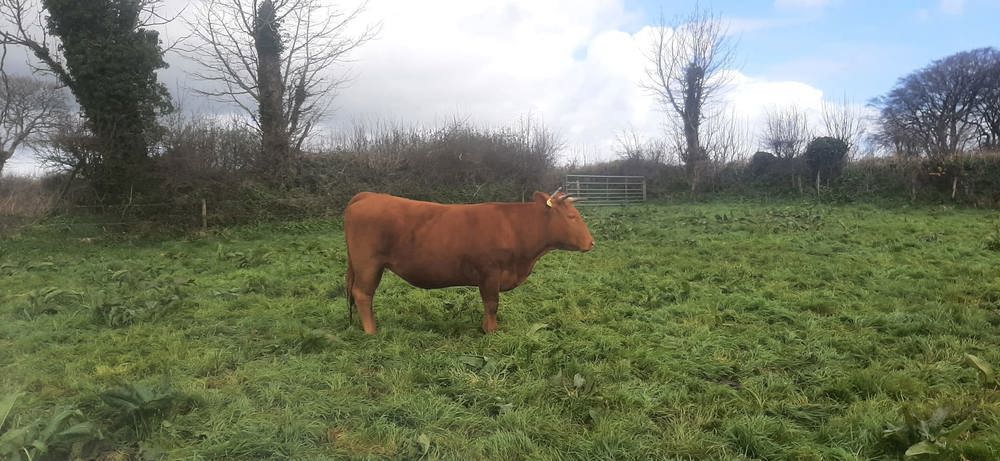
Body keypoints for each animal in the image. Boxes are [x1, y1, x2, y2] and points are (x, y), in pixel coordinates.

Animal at [344, 188, 592, 334]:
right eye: (572, 217)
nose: (591, 242)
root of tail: (368, 195)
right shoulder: (490, 272)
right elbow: (491, 304)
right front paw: (491, 331)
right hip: (368, 264)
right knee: (363, 294)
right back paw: (372, 331)